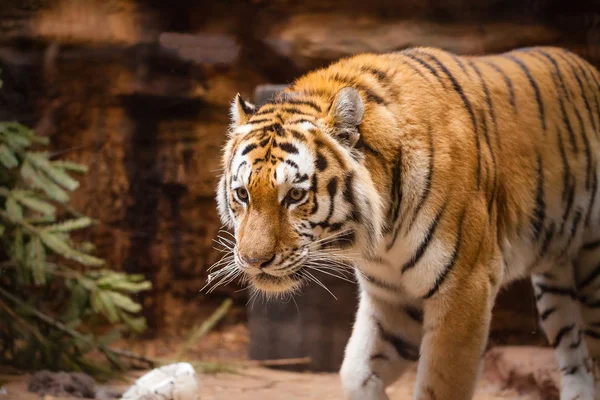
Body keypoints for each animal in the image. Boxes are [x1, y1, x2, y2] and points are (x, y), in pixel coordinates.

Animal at [213, 45, 600, 398]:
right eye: (243, 194)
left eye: (295, 195)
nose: (253, 261)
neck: (381, 237)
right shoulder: (393, 298)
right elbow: (355, 373)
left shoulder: (466, 288)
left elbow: (439, 384)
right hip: (555, 280)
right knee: (574, 353)